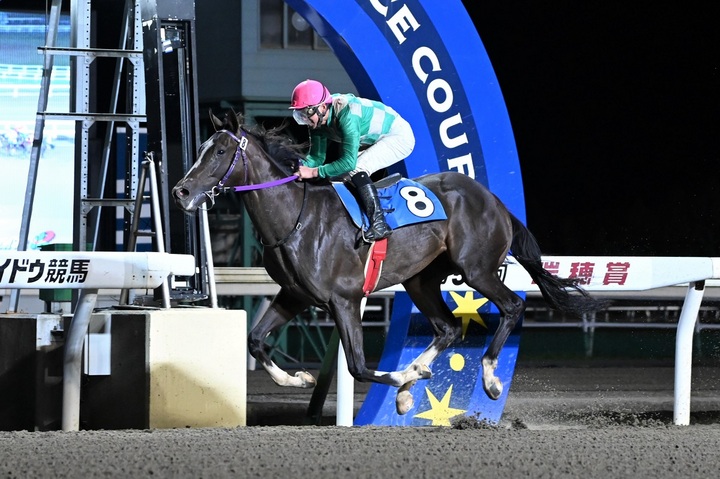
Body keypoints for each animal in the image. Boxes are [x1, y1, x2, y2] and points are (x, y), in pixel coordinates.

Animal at [172, 111, 603, 415]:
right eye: (201, 150)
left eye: (221, 151)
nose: (181, 191)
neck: (296, 217)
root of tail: (493, 200)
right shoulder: (294, 295)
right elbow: (256, 340)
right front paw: (300, 379)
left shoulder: (344, 300)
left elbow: (358, 366)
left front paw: (408, 374)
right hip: (421, 280)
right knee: (447, 328)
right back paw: (412, 387)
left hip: (476, 269)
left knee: (511, 306)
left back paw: (489, 378)